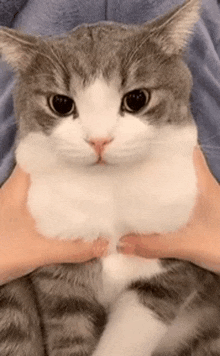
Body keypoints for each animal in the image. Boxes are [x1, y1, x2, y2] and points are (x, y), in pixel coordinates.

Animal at [0, 0, 220, 354]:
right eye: (60, 103)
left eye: (137, 99)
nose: (99, 140)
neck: (109, 188)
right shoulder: (57, 273)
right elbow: (69, 330)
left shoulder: (173, 257)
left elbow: (133, 327)